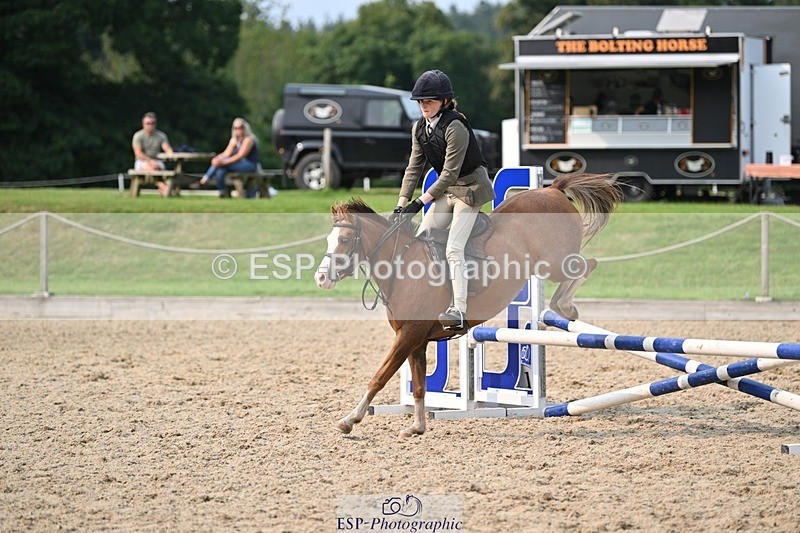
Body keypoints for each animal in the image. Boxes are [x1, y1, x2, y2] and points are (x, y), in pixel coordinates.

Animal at [315, 173, 620, 437]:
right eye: (329, 239)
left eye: (344, 240)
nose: (321, 278)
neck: (402, 266)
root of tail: (552, 190)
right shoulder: (415, 339)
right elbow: (420, 386)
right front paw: (417, 427)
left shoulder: (408, 335)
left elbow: (379, 377)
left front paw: (349, 420)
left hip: (555, 262)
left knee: (586, 265)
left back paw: (564, 306)